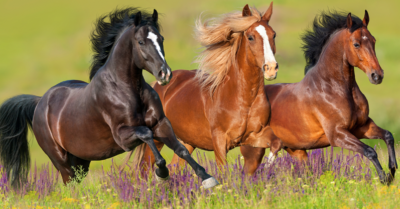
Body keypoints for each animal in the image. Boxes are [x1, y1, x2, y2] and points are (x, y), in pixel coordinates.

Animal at [0, 7, 219, 188]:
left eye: (161, 39)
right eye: (141, 42)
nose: (165, 74)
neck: (127, 90)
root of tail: (39, 102)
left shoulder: (161, 123)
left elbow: (181, 149)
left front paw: (207, 179)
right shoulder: (123, 137)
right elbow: (147, 135)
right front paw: (162, 173)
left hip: (80, 160)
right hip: (61, 160)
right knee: (69, 184)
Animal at [131, 3, 282, 173]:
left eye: (273, 35)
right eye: (250, 37)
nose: (271, 68)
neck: (243, 99)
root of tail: (156, 85)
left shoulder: (254, 135)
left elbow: (276, 143)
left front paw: (266, 169)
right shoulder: (220, 140)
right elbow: (223, 170)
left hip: (187, 142)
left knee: (176, 166)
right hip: (157, 139)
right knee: (145, 169)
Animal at [241, 10, 396, 184]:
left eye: (373, 40)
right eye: (356, 44)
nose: (377, 75)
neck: (332, 88)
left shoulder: (361, 127)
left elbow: (388, 136)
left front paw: (392, 170)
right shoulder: (337, 135)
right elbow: (370, 151)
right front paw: (384, 178)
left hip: (297, 151)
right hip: (254, 151)